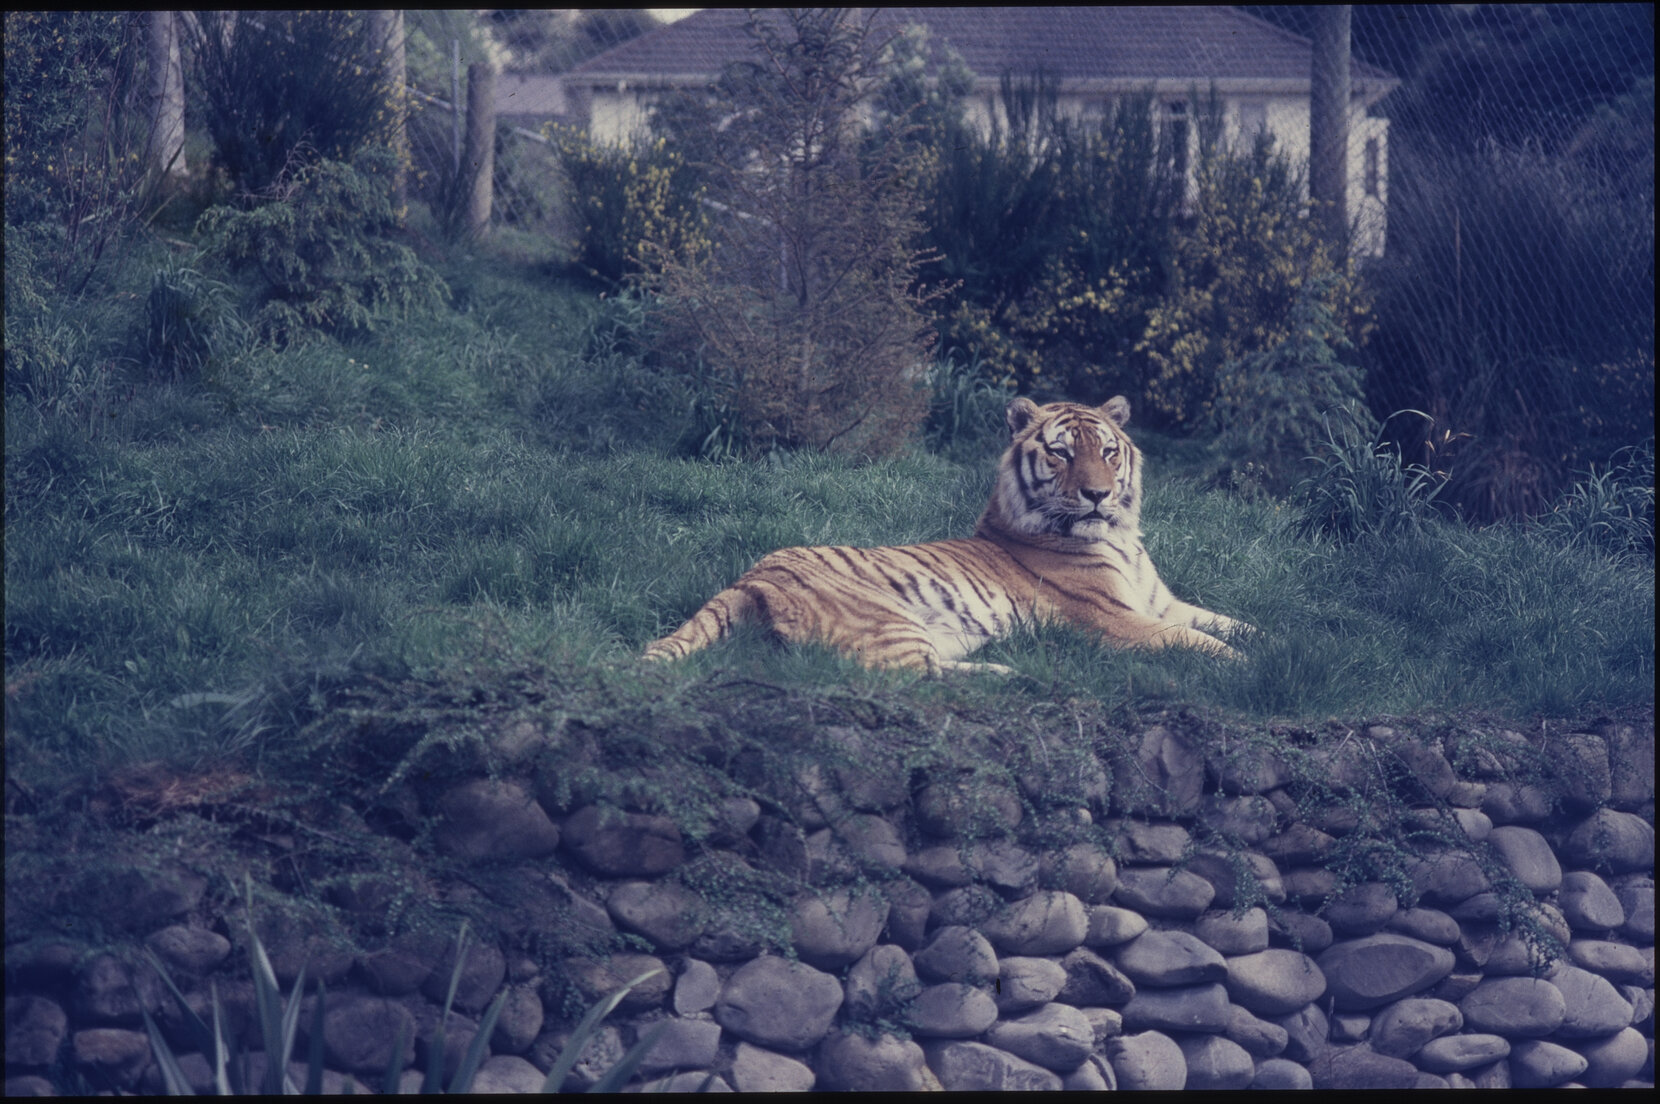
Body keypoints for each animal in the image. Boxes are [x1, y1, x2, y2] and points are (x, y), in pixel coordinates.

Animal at [642, 396, 1253, 674]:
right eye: (1060, 452)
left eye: (1107, 451)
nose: (1098, 495)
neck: (1123, 541)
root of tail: (752, 574)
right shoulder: (1116, 620)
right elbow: (1198, 642)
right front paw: (1249, 667)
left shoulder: (1161, 603)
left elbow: (1233, 623)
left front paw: (1269, 641)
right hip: (890, 619)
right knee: (906, 677)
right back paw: (1006, 675)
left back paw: (1003, 667)